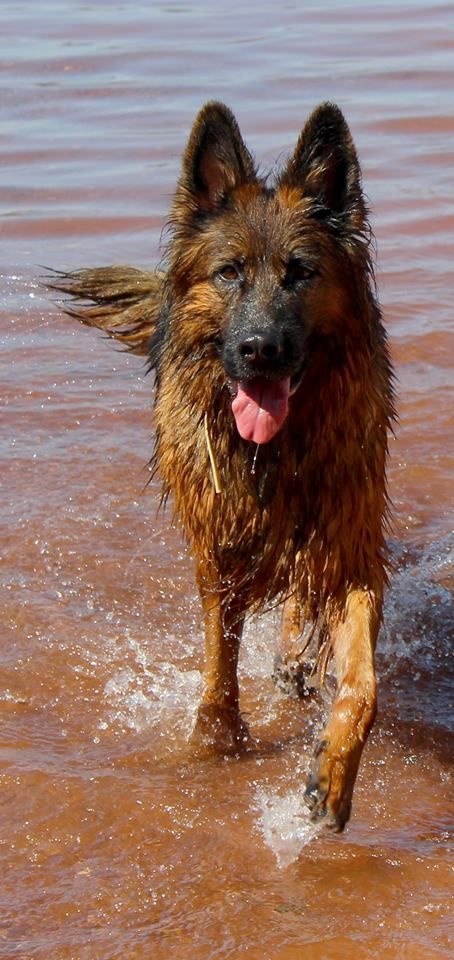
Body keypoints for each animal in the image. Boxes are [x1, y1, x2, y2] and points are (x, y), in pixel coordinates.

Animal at [49, 101, 396, 828]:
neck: (273, 449)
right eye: (229, 272)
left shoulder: (349, 541)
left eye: (301, 272)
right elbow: (218, 653)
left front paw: (332, 775)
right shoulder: (218, 543)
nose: (261, 349)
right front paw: (215, 739)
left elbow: (363, 685)